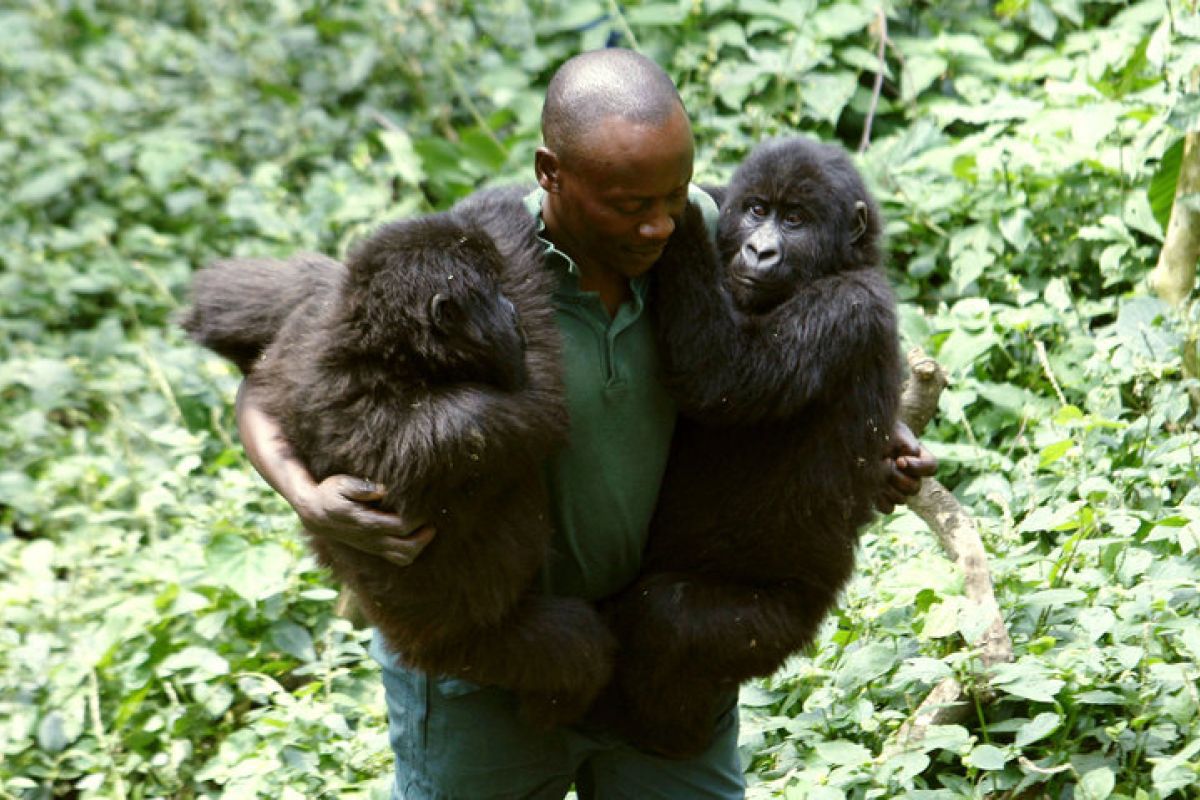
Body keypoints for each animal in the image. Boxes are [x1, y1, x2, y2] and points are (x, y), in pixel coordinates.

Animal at [187, 209, 619, 729]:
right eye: (493, 294)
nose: (510, 314)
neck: (391, 355)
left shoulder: (316, 315)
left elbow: (232, 307)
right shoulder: (470, 422)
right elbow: (542, 394)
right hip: (468, 651)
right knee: (576, 648)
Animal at [600, 137, 902, 758]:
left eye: (796, 220)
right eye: (758, 210)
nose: (760, 251)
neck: (842, 262)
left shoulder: (849, 308)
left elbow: (725, 377)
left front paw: (682, 222)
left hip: (782, 626)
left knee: (669, 616)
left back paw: (664, 730)